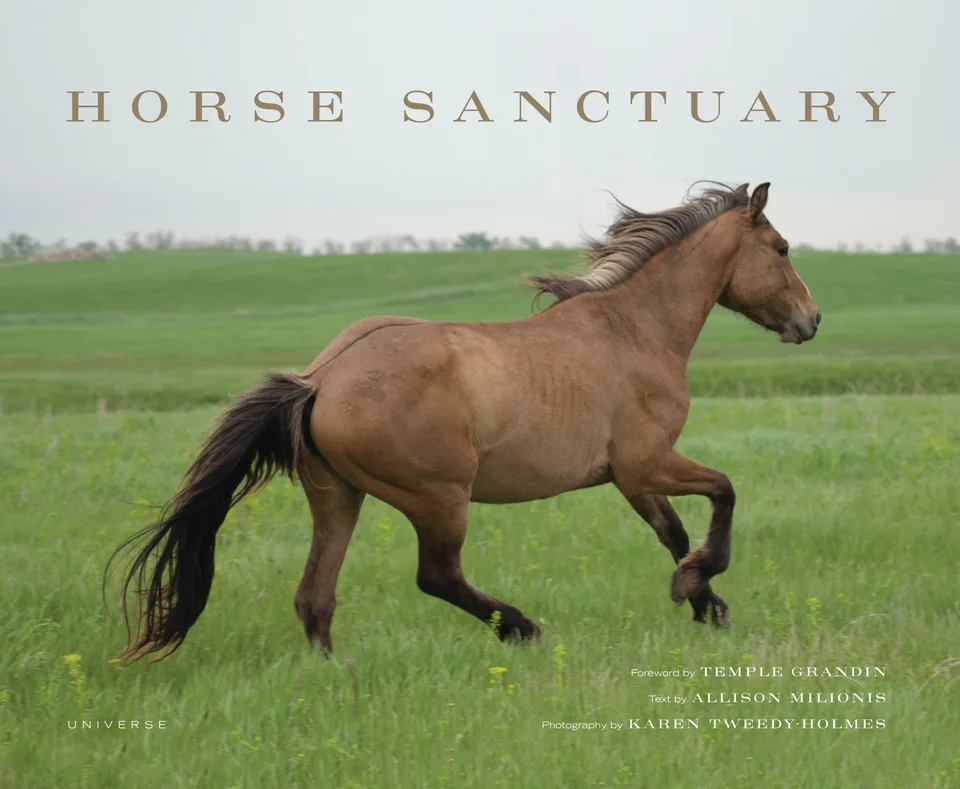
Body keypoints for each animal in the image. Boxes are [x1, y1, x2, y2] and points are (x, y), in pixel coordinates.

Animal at [106, 181, 821, 662]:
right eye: (783, 248)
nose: (811, 322)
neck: (634, 330)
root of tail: (320, 381)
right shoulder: (647, 462)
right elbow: (724, 492)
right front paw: (702, 586)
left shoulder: (631, 476)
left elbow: (673, 534)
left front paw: (706, 602)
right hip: (438, 496)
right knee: (437, 576)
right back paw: (522, 628)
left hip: (338, 496)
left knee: (315, 595)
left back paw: (335, 673)